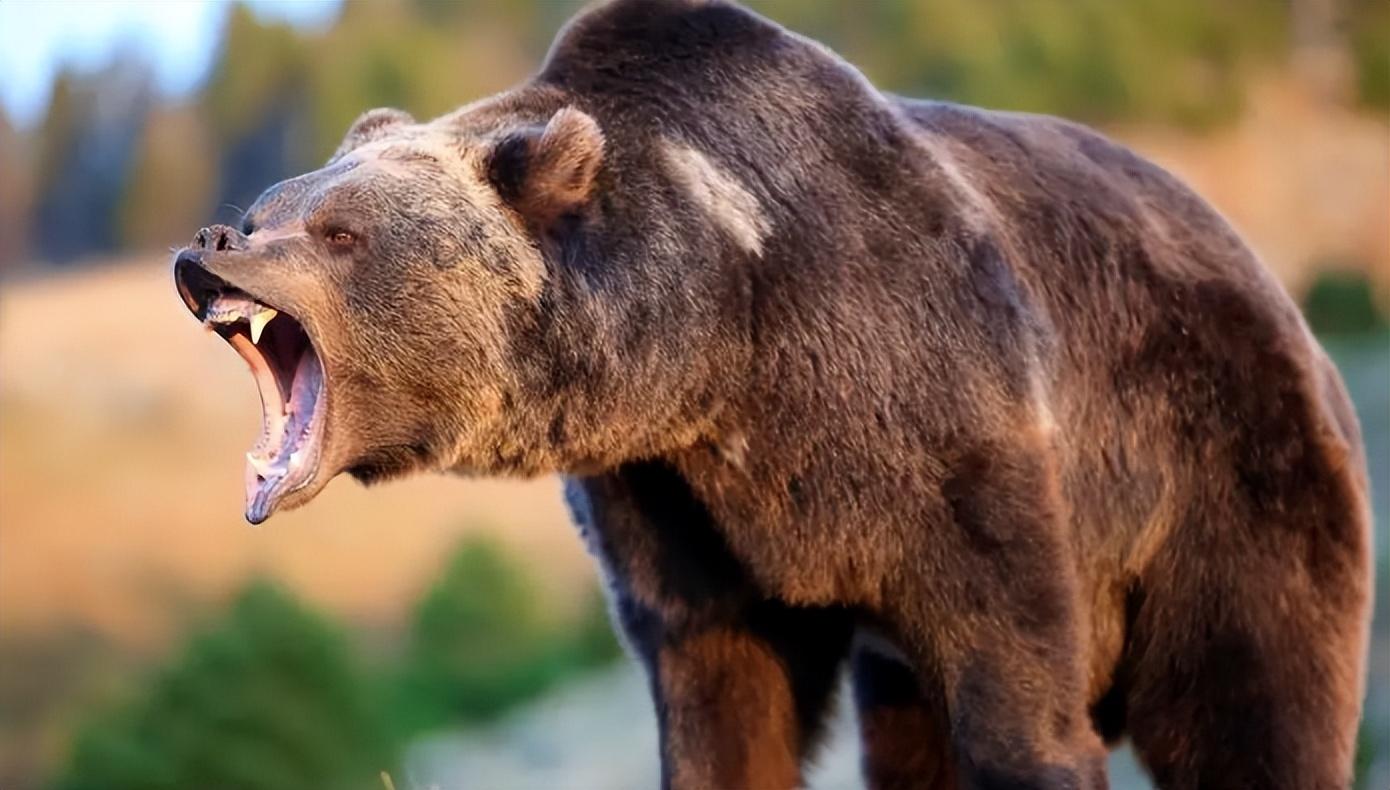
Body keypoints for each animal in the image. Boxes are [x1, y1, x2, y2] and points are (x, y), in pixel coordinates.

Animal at [172, 1, 1373, 787]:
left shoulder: (950, 426)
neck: (722, 347)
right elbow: (722, 701)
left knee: (1253, 706)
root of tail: (1278, 293)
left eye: (339, 231)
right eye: (272, 203)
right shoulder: (674, 509)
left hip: (1227, 476)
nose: (211, 242)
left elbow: (1017, 695)